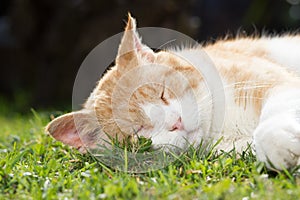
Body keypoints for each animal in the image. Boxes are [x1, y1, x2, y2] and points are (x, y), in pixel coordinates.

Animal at [44, 14, 300, 170]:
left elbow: (274, 116)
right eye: (138, 131)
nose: (176, 122)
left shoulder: (275, 83)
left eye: (163, 92)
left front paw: (279, 143)